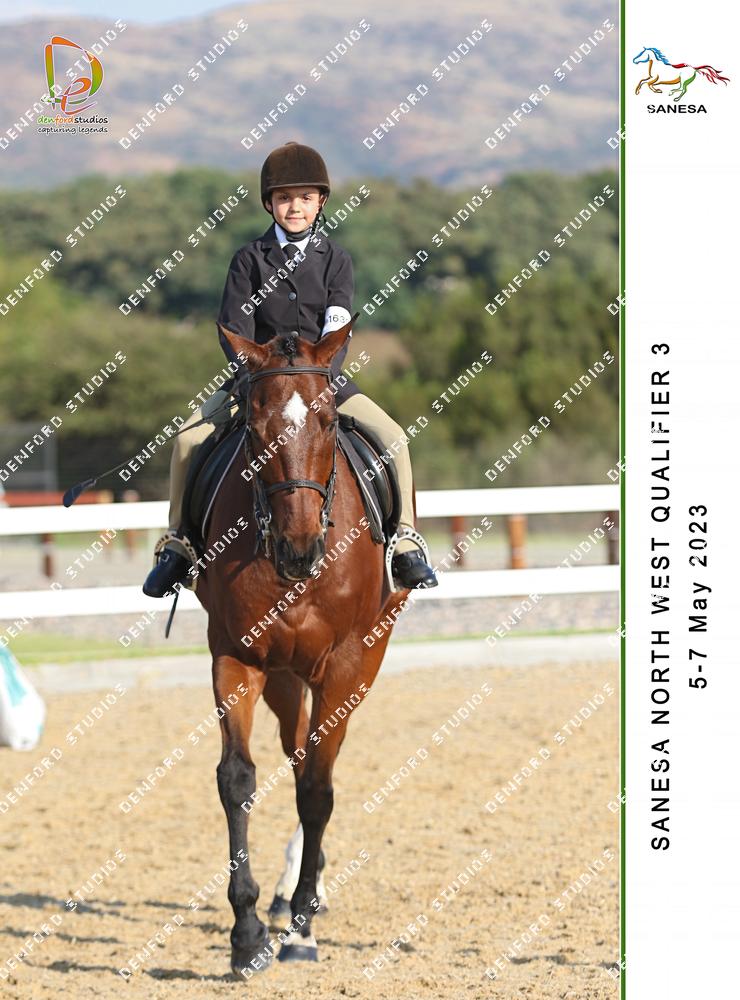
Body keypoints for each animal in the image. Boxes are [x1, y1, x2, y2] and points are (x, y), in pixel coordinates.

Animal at [194, 317, 412, 976]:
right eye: (254, 426)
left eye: (327, 420)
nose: (299, 548)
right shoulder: (235, 657)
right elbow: (238, 780)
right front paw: (245, 935)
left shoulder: (343, 665)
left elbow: (318, 791)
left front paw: (300, 930)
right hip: (286, 678)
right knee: (295, 755)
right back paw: (286, 890)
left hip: (358, 665)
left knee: (317, 767)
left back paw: (301, 897)